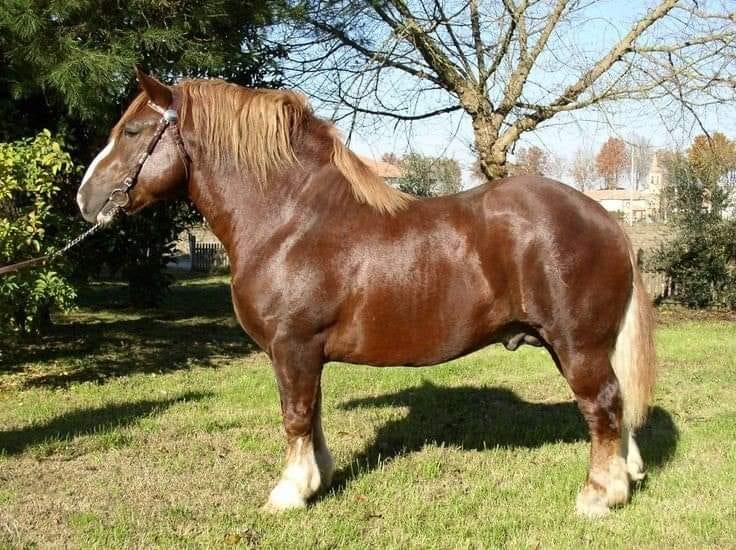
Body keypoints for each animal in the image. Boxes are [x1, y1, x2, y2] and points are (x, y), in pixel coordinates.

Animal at [76, 68, 656, 516]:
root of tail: (608, 219)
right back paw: (627, 475)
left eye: (133, 131)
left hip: (577, 346)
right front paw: (318, 479)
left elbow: (294, 415)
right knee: (616, 403)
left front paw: (289, 493)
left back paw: (600, 495)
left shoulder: (292, 346)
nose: (85, 198)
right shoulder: (306, 353)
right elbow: (311, 413)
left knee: (602, 403)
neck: (289, 220)